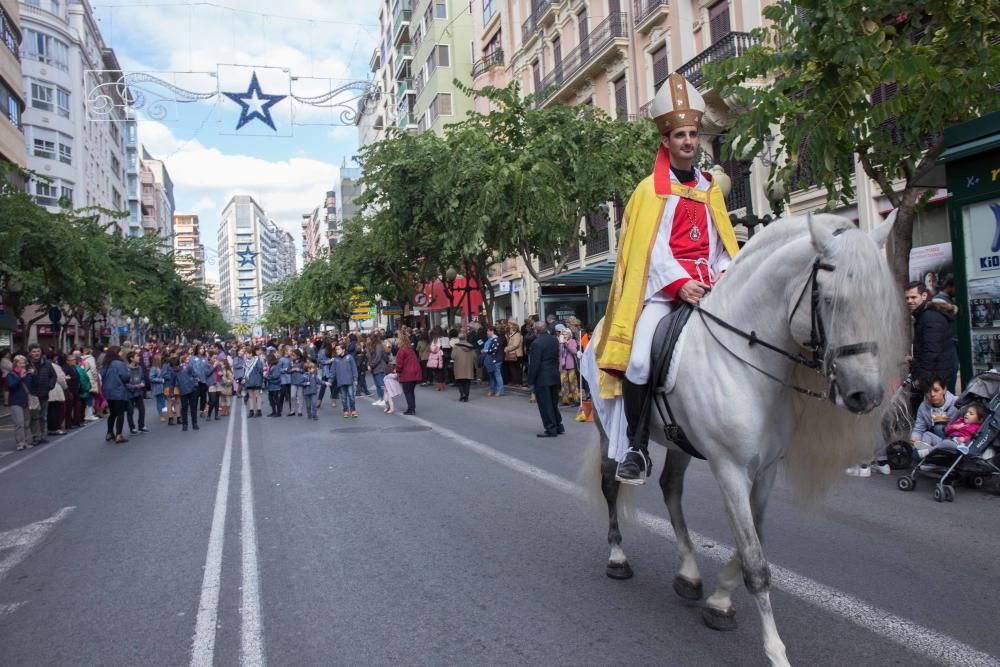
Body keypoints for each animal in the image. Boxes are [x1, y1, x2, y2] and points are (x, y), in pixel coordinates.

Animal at [588, 214, 904, 667]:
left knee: (670, 489)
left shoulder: (765, 469)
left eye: (878, 298)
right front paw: (776, 651)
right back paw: (617, 556)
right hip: (607, 428)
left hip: (680, 442)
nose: (867, 395)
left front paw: (719, 601)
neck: (746, 360)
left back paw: (688, 574)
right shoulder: (730, 469)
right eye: (828, 298)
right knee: (611, 483)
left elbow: (751, 538)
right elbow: (756, 561)